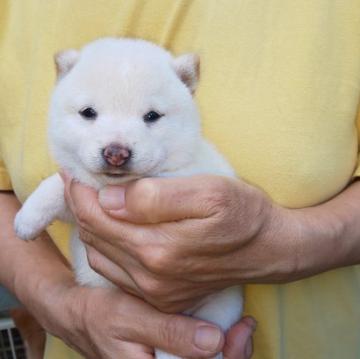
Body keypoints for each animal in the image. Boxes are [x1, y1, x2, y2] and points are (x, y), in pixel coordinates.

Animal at [15, 38, 243, 358]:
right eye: (88, 112)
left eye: (152, 116)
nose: (116, 152)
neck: (112, 187)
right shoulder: (78, 195)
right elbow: (59, 184)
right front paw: (28, 217)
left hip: (220, 305)